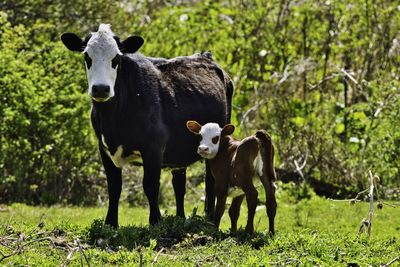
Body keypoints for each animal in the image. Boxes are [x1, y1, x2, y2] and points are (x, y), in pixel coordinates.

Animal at [61, 24, 233, 227]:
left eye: (116, 58)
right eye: (87, 57)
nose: (101, 89)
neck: (114, 120)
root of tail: (205, 56)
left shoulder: (154, 146)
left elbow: (150, 185)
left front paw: (155, 222)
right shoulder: (104, 147)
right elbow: (114, 186)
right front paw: (111, 223)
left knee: (210, 181)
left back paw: (209, 220)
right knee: (179, 184)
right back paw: (180, 219)